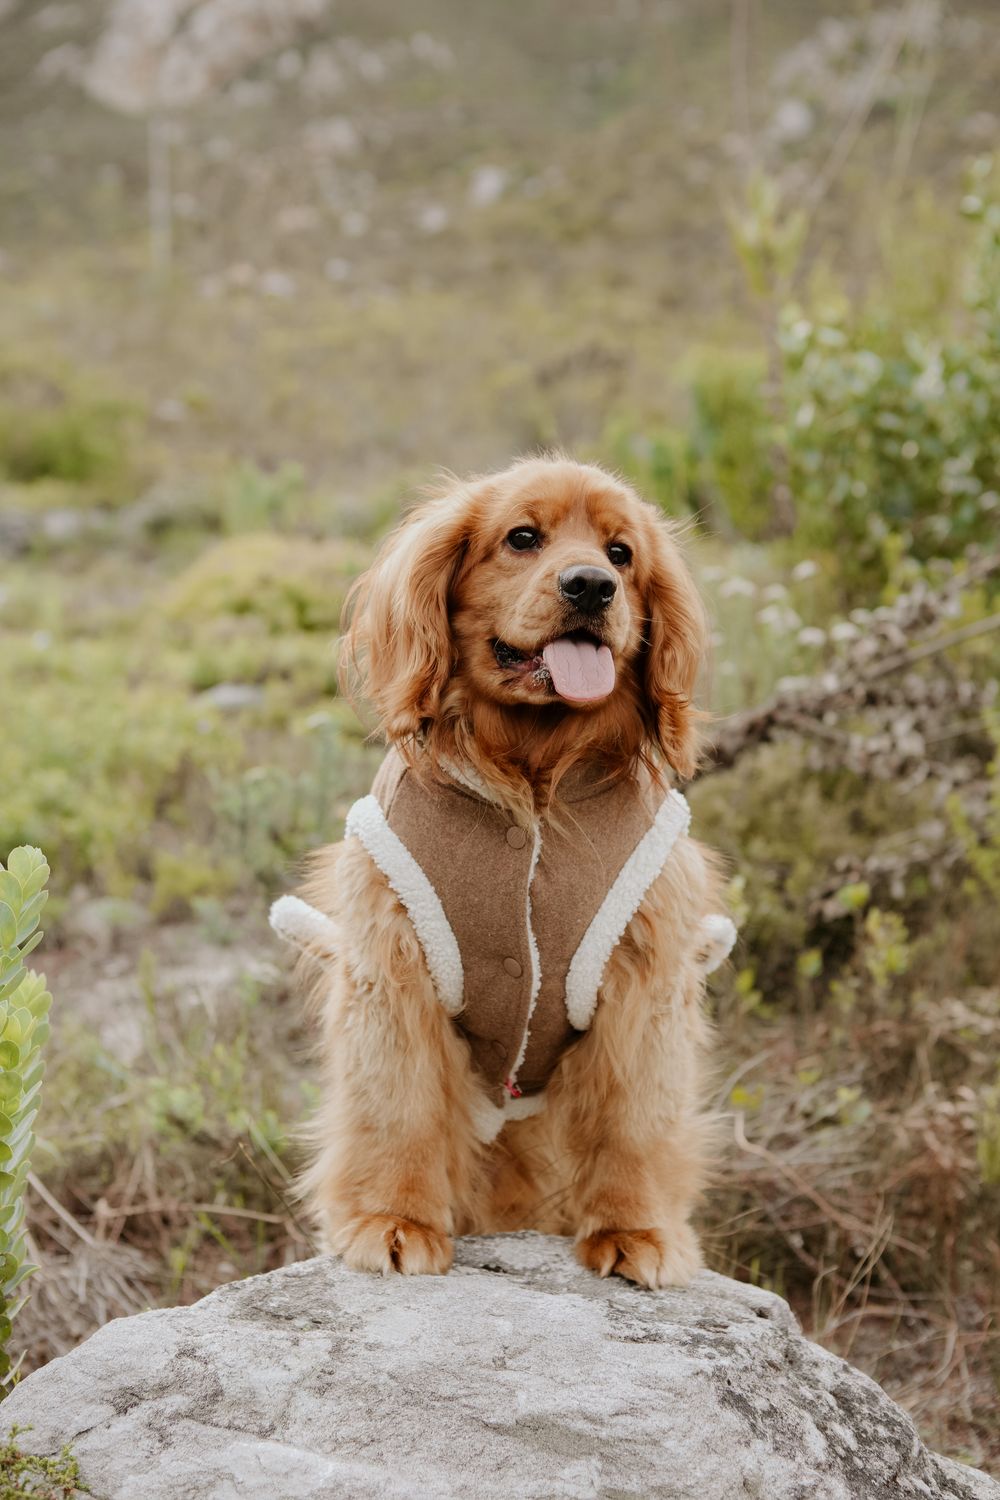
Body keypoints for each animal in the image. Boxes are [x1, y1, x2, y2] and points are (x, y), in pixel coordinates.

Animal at [274, 450, 734, 1284]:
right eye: (523, 537)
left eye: (622, 554)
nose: (591, 586)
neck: (532, 775)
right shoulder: (395, 970)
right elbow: (399, 1105)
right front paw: (394, 1220)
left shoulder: (644, 981)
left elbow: (636, 1117)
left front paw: (638, 1230)